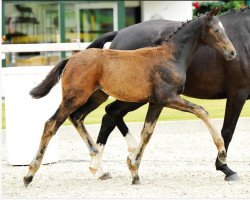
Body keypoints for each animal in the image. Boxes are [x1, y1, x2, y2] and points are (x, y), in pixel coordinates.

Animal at [23, 7, 234, 186]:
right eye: (217, 30)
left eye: (224, 29)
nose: (232, 52)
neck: (171, 56)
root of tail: (71, 59)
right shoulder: (169, 98)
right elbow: (202, 111)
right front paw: (222, 153)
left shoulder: (156, 102)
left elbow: (147, 132)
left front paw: (134, 171)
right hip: (73, 98)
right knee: (51, 124)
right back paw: (29, 174)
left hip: (96, 97)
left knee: (77, 117)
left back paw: (97, 163)